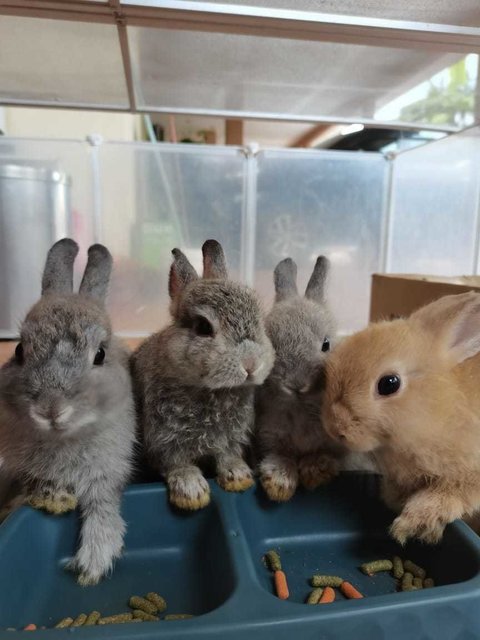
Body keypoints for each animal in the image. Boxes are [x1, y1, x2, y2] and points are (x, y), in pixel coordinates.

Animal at [0, 236, 136, 584]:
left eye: (100, 354)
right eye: (19, 350)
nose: (50, 408)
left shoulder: (108, 472)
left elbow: (102, 505)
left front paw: (95, 560)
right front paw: (51, 497)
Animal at [131, 239, 274, 510]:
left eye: (259, 320)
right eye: (203, 327)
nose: (251, 363)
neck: (211, 390)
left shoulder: (230, 439)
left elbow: (227, 456)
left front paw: (239, 476)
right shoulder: (163, 440)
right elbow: (177, 463)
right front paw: (191, 492)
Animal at [256, 255, 340, 500]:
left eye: (326, 344)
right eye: (272, 345)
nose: (296, 385)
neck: (301, 408)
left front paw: (315, 472)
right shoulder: (269, 436)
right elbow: (280, 456)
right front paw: (278, 484)